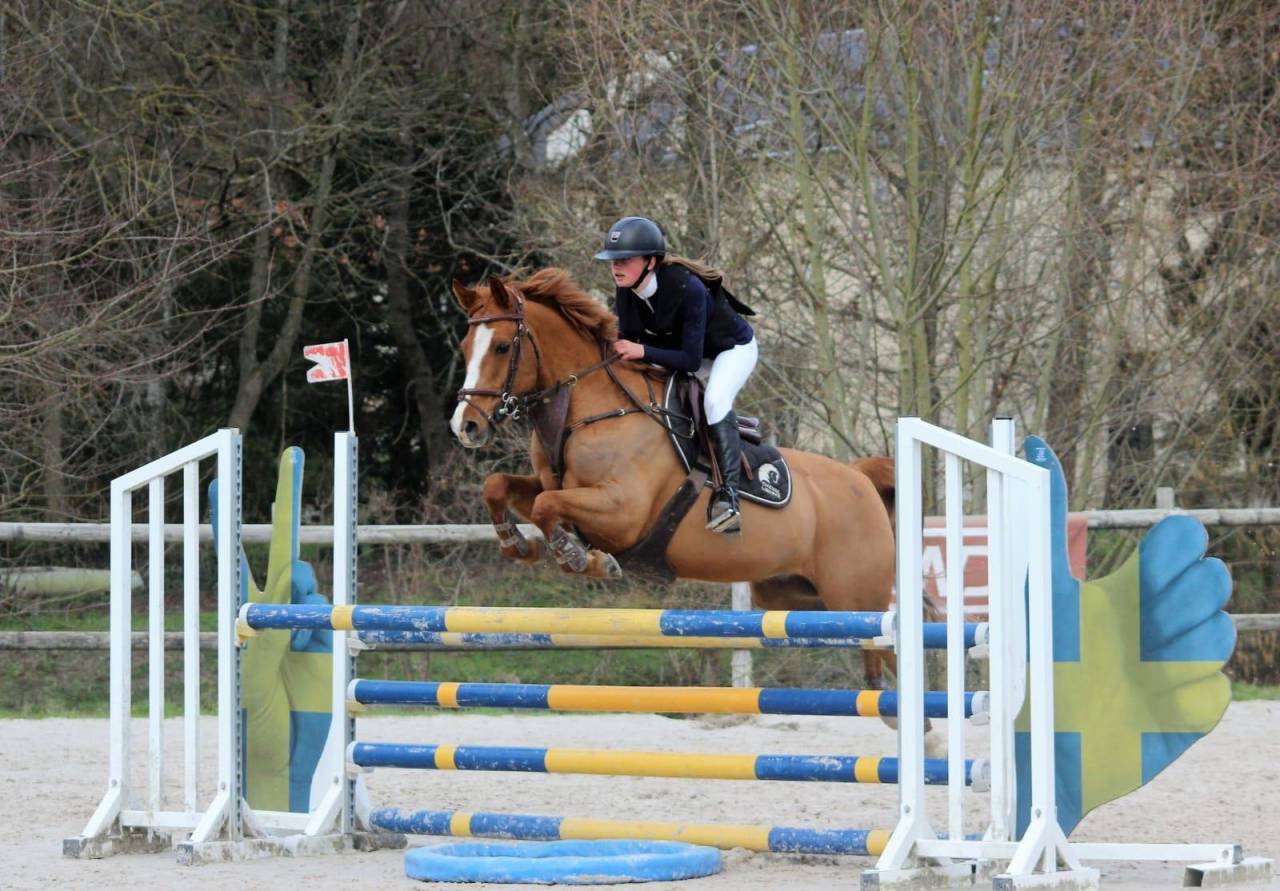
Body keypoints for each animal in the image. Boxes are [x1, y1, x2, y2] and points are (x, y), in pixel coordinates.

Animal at [448, 269, 900, 690]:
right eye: (465, 348)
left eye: (502, 346)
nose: (465, 426)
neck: (589, 406)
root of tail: (860, 479)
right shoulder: (555, 486)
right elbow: (500, 487)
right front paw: (518, 545)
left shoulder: (623, 513)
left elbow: (547, 507)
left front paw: (581, 558)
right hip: (796, 596)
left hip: (856, 595)